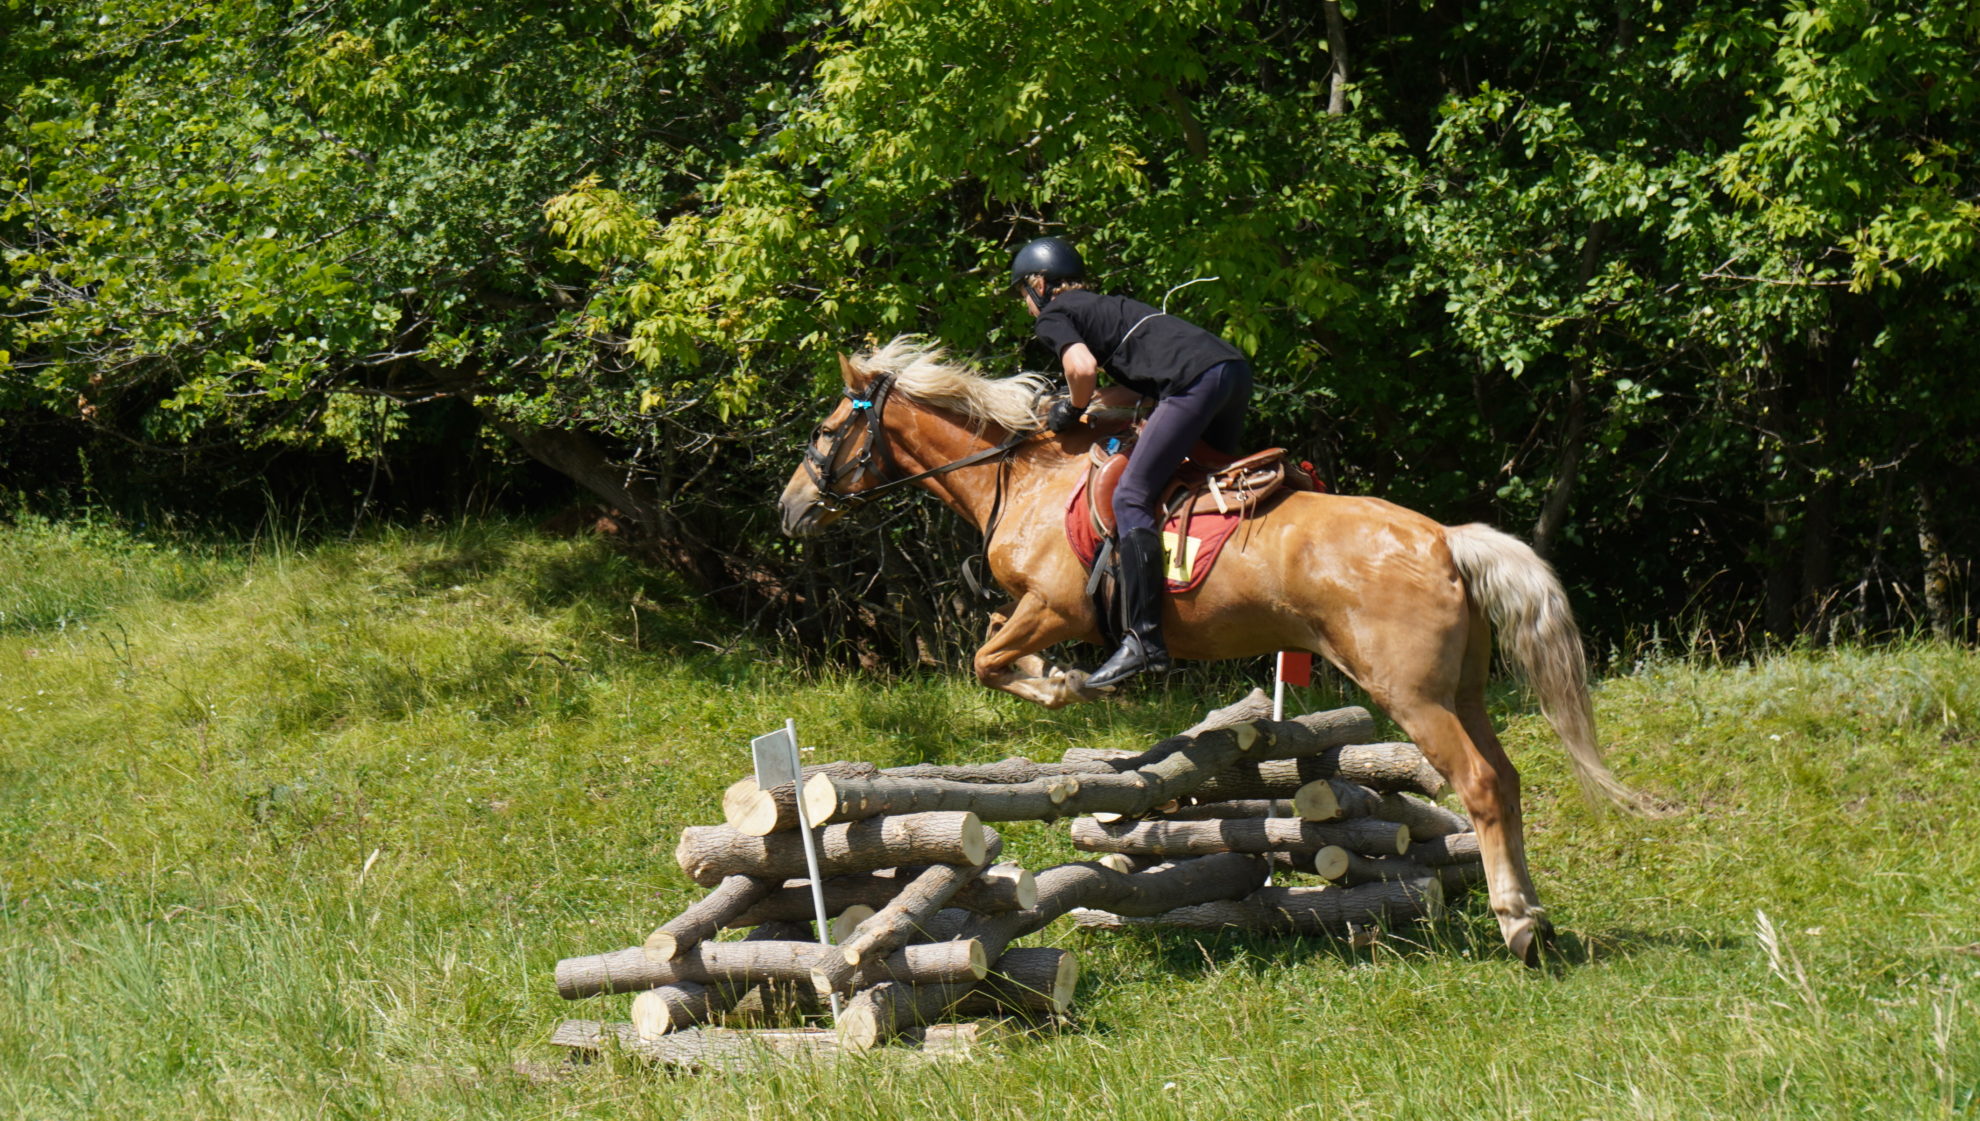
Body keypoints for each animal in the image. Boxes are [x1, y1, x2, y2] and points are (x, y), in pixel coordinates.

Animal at [780, 336, 1647, 966]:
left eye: (825, 431)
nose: (790, 509)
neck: (1023, 478)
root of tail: (1443, 538)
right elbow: (993, 657)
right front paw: (1070, 683)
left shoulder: (1054, 606)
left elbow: (991, 661)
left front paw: (1075, 683)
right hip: (1463, 689)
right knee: (1507, 777)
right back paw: (1537, 915)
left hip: (1415, 695)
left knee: (1479, 782)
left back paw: (1517, 927)